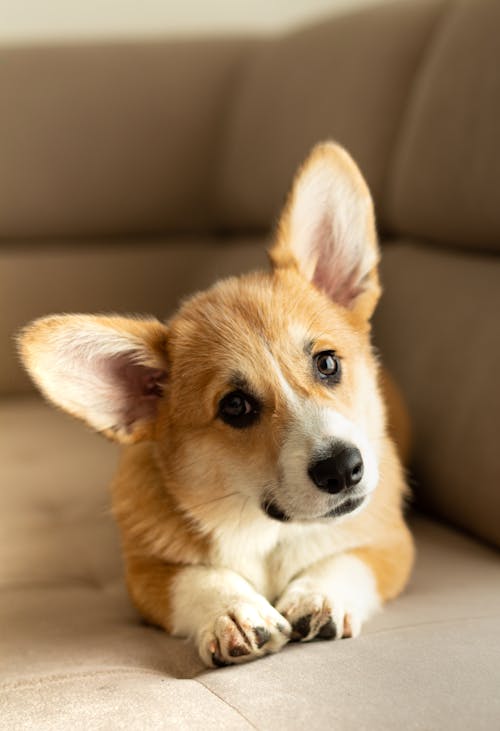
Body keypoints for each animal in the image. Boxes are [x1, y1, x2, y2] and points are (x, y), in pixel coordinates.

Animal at [18, 142, 414, 668]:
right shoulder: (146, 573)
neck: (267, 534)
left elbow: (346, 559)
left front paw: (319, 593)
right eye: (236, 407)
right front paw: (234, 612)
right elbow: (196, 577)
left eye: (327, 363)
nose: (343, 469)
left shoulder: (390, 543)